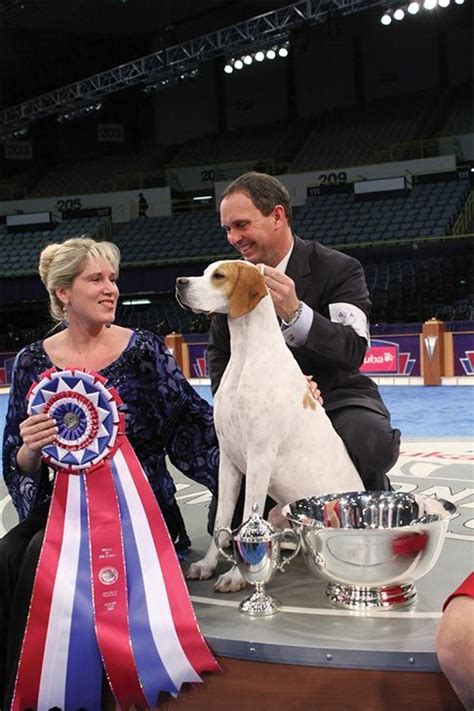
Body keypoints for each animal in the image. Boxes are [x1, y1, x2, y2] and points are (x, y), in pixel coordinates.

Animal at [176, 258, 362, 592]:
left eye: (219, 276)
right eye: (204, 271)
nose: (179, 282)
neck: (246, 355)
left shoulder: (259, 457)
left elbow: (248, 520)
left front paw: (237, 575)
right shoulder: (229, 459)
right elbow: (223, 520)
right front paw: (208, 564)